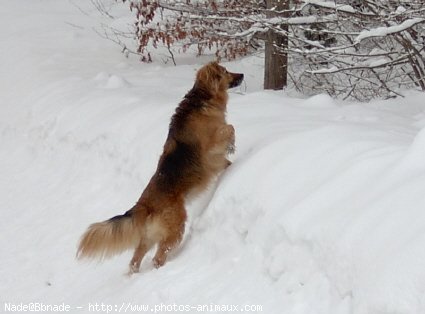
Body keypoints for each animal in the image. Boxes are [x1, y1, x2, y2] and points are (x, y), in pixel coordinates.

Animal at [76, 60, 242, 272]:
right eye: (225, 71)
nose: (242, 75)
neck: (202, 99)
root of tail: (144, 205)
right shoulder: (211, 146)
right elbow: (229, 129)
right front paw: (232, 147)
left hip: (148, 238)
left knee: (134, 262)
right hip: (175, 228)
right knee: (159, 256)